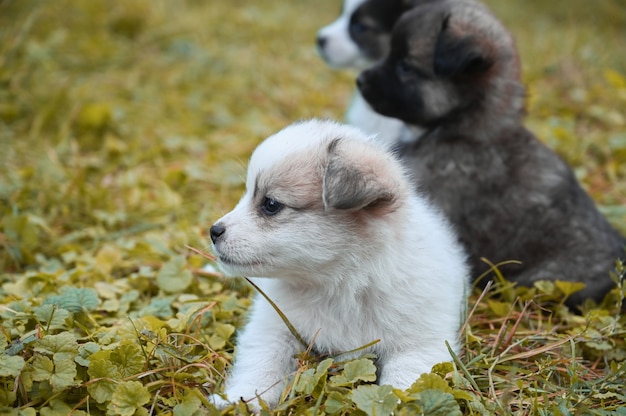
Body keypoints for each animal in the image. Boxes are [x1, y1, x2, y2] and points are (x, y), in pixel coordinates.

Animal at [210, 118, 468, 408]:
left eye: (271, 204)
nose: (213, 231)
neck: (341, 283)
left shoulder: (418, 342)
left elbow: (406, 380)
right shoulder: (273, 326)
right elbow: (261, 363)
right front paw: (240, 398)